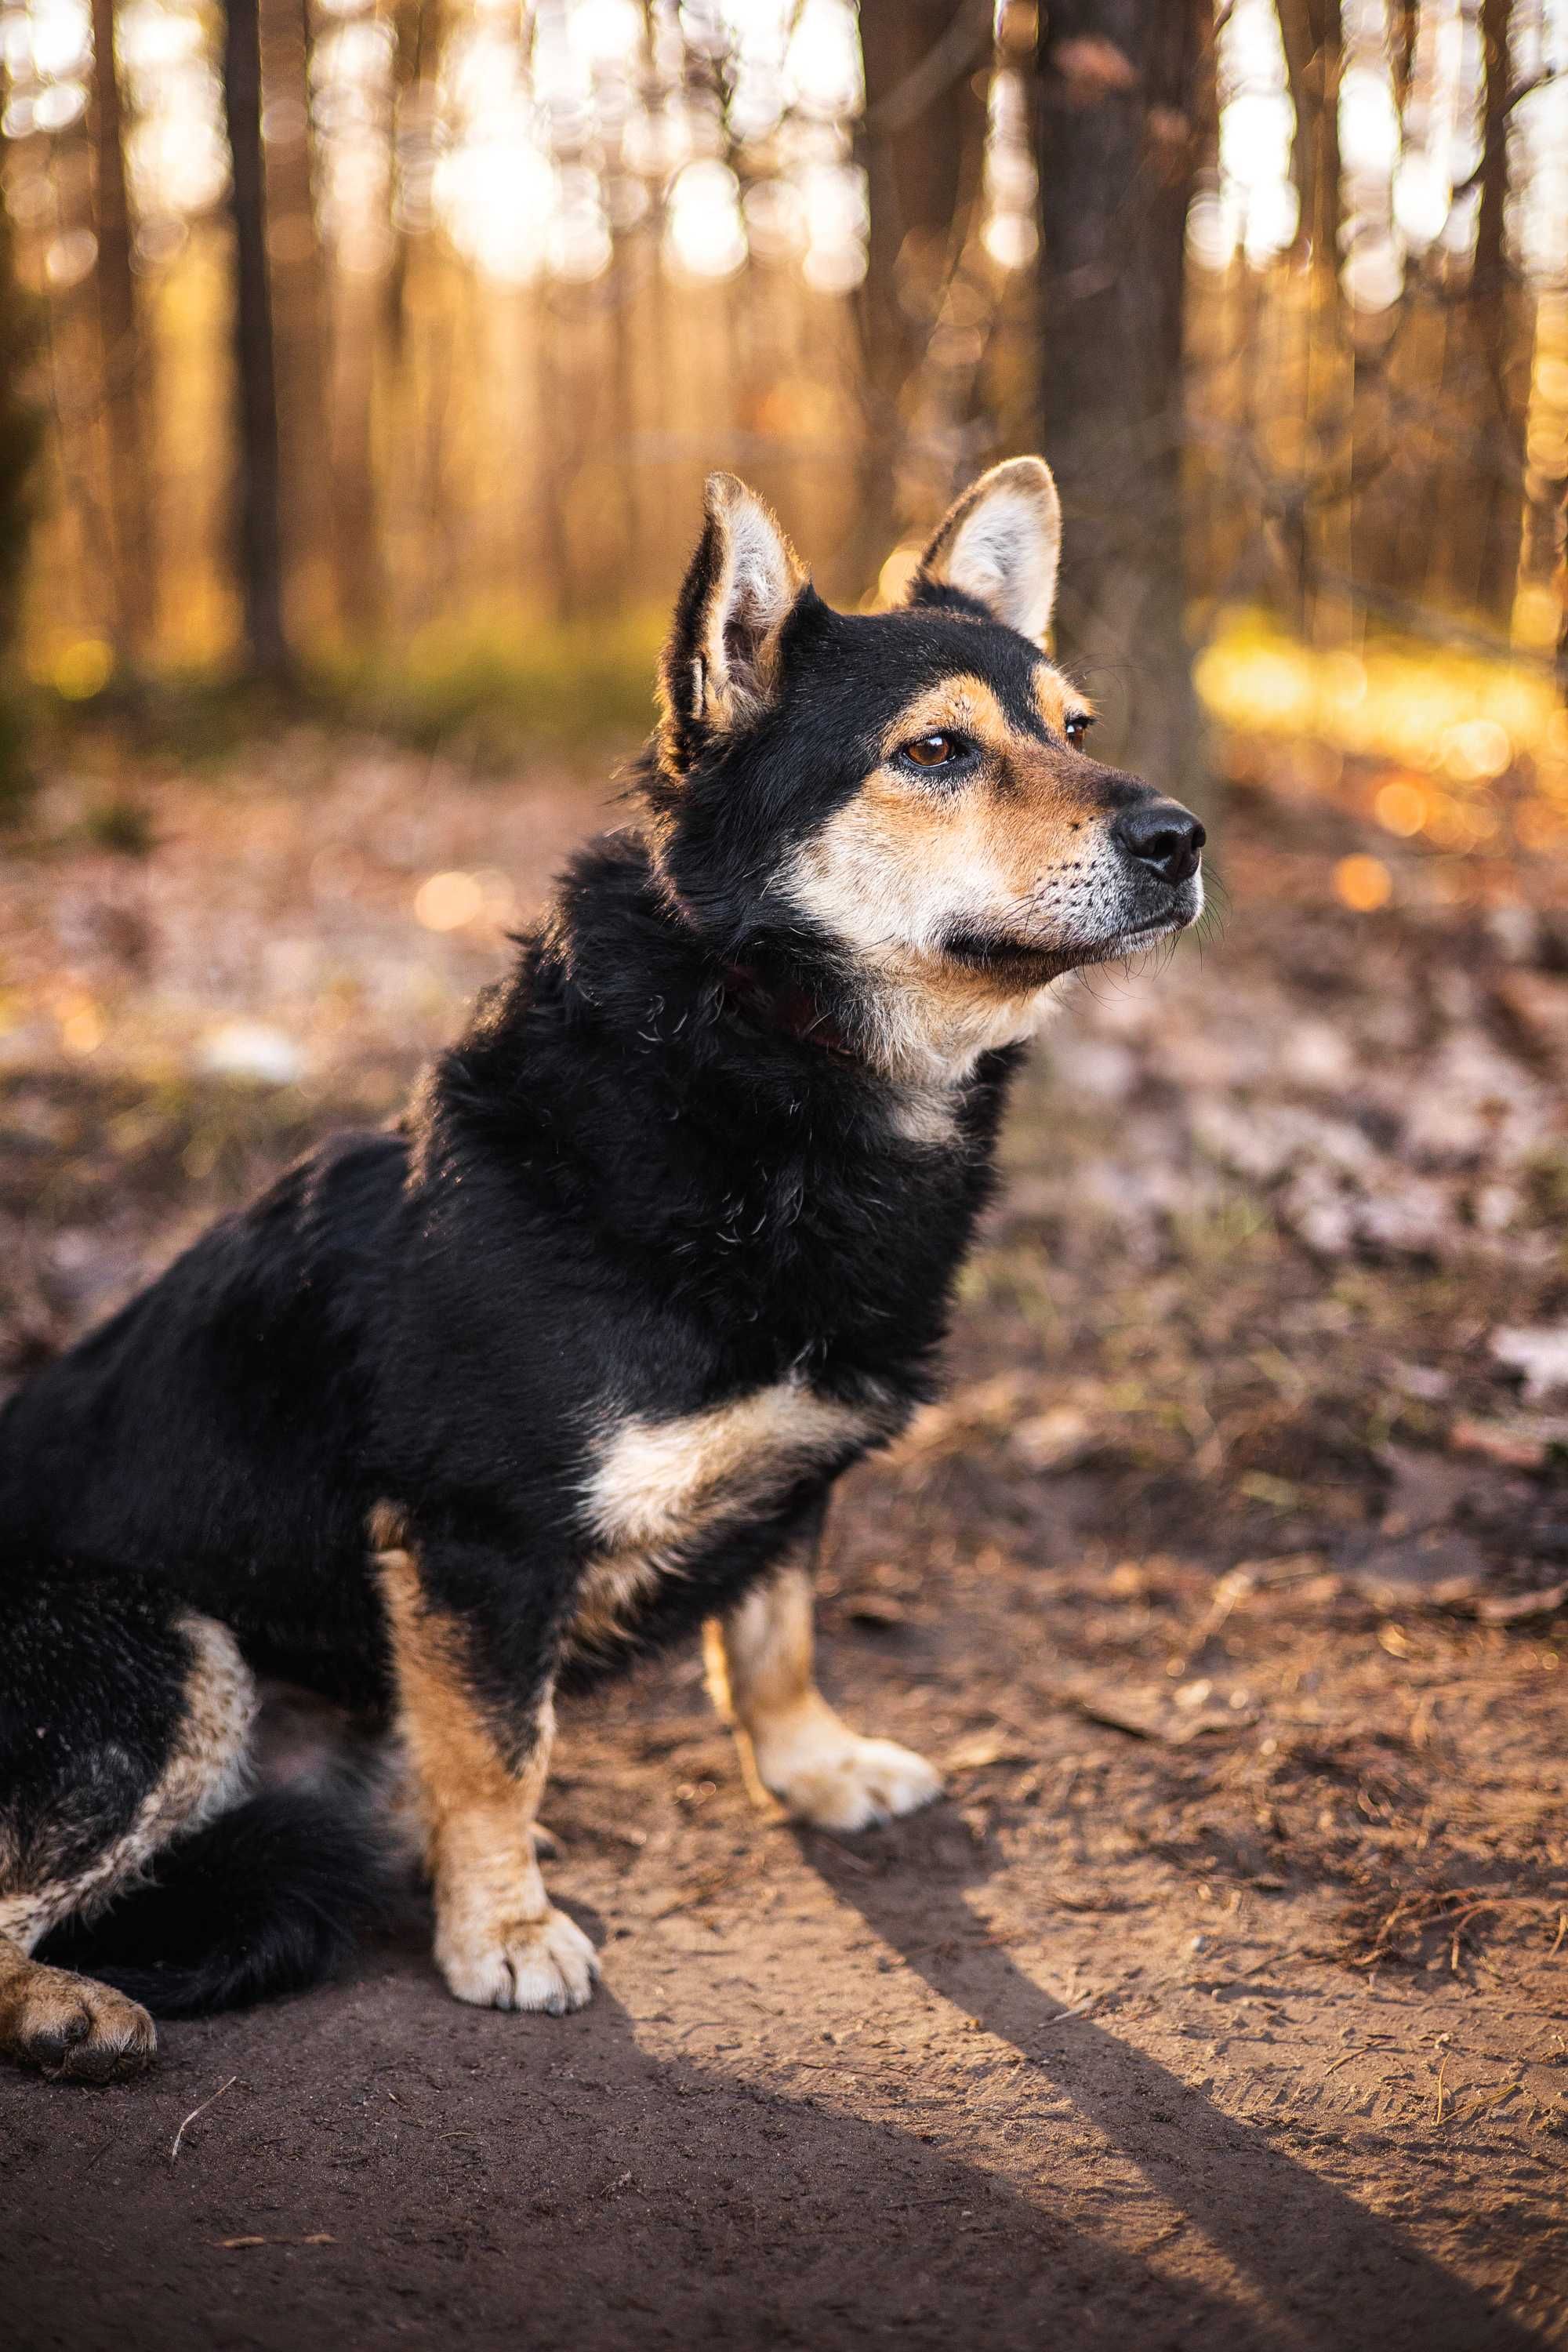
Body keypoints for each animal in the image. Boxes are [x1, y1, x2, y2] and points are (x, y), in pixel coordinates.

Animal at [0, 459, 1213, 2079]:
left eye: (1076, 730)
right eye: (937, 751)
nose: (1183, 839)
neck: (758, 1064)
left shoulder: (795, 1477)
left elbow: (773, 1635)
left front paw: (814, 1767)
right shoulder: (478, 1535)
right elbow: (502, 1754)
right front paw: (502, 1931)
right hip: (162, 1646)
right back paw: (70, 2009)